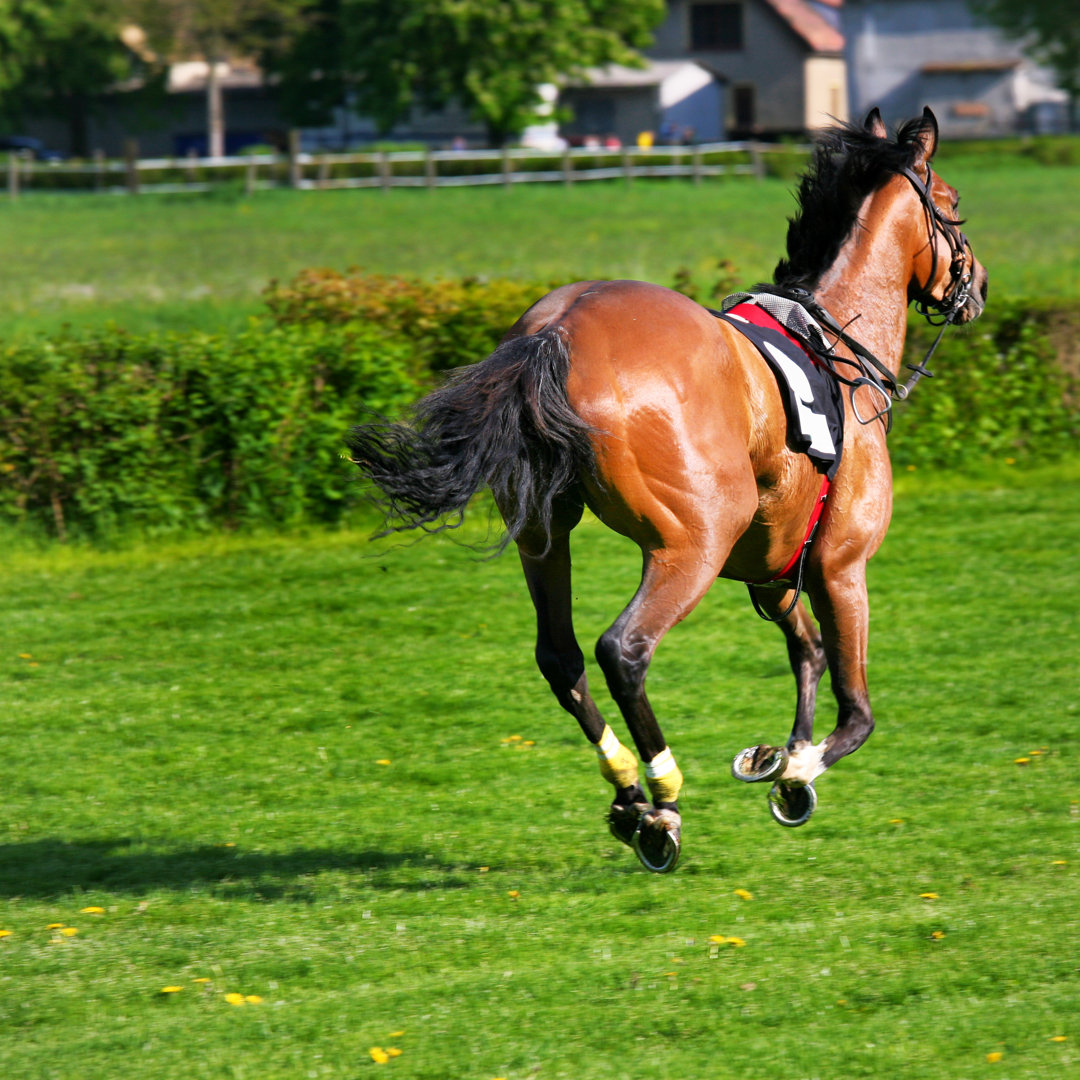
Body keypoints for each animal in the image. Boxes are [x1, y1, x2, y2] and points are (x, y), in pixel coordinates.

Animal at [349, 107, 989, 868]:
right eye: (951, 202)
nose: (979, 287)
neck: (838, 341)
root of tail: (557, 330)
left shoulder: (770, 568)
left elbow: (804, 651)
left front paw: (776, 755)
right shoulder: (839, 566)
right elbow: (855, 710)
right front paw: (796, 775)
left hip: (546, 536)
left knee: (561, 656)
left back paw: (628, 792)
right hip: (691, 545)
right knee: (623, 651)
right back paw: (662, 800)